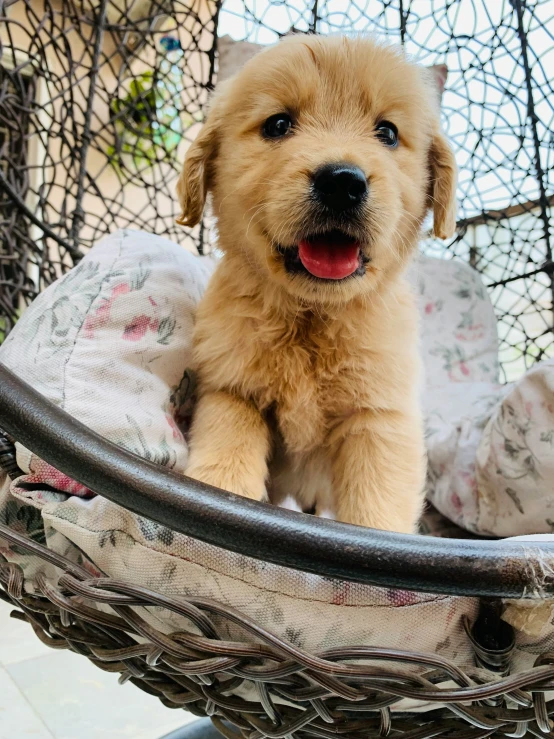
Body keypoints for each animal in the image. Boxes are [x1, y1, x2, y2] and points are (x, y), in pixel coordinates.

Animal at [176, 33, 452, 532]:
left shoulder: (379, 419)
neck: (312, 316)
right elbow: (227, 452)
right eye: (278, 124)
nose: (342, 182)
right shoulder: (232, 389)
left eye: (387, 133)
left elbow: (377, 510)